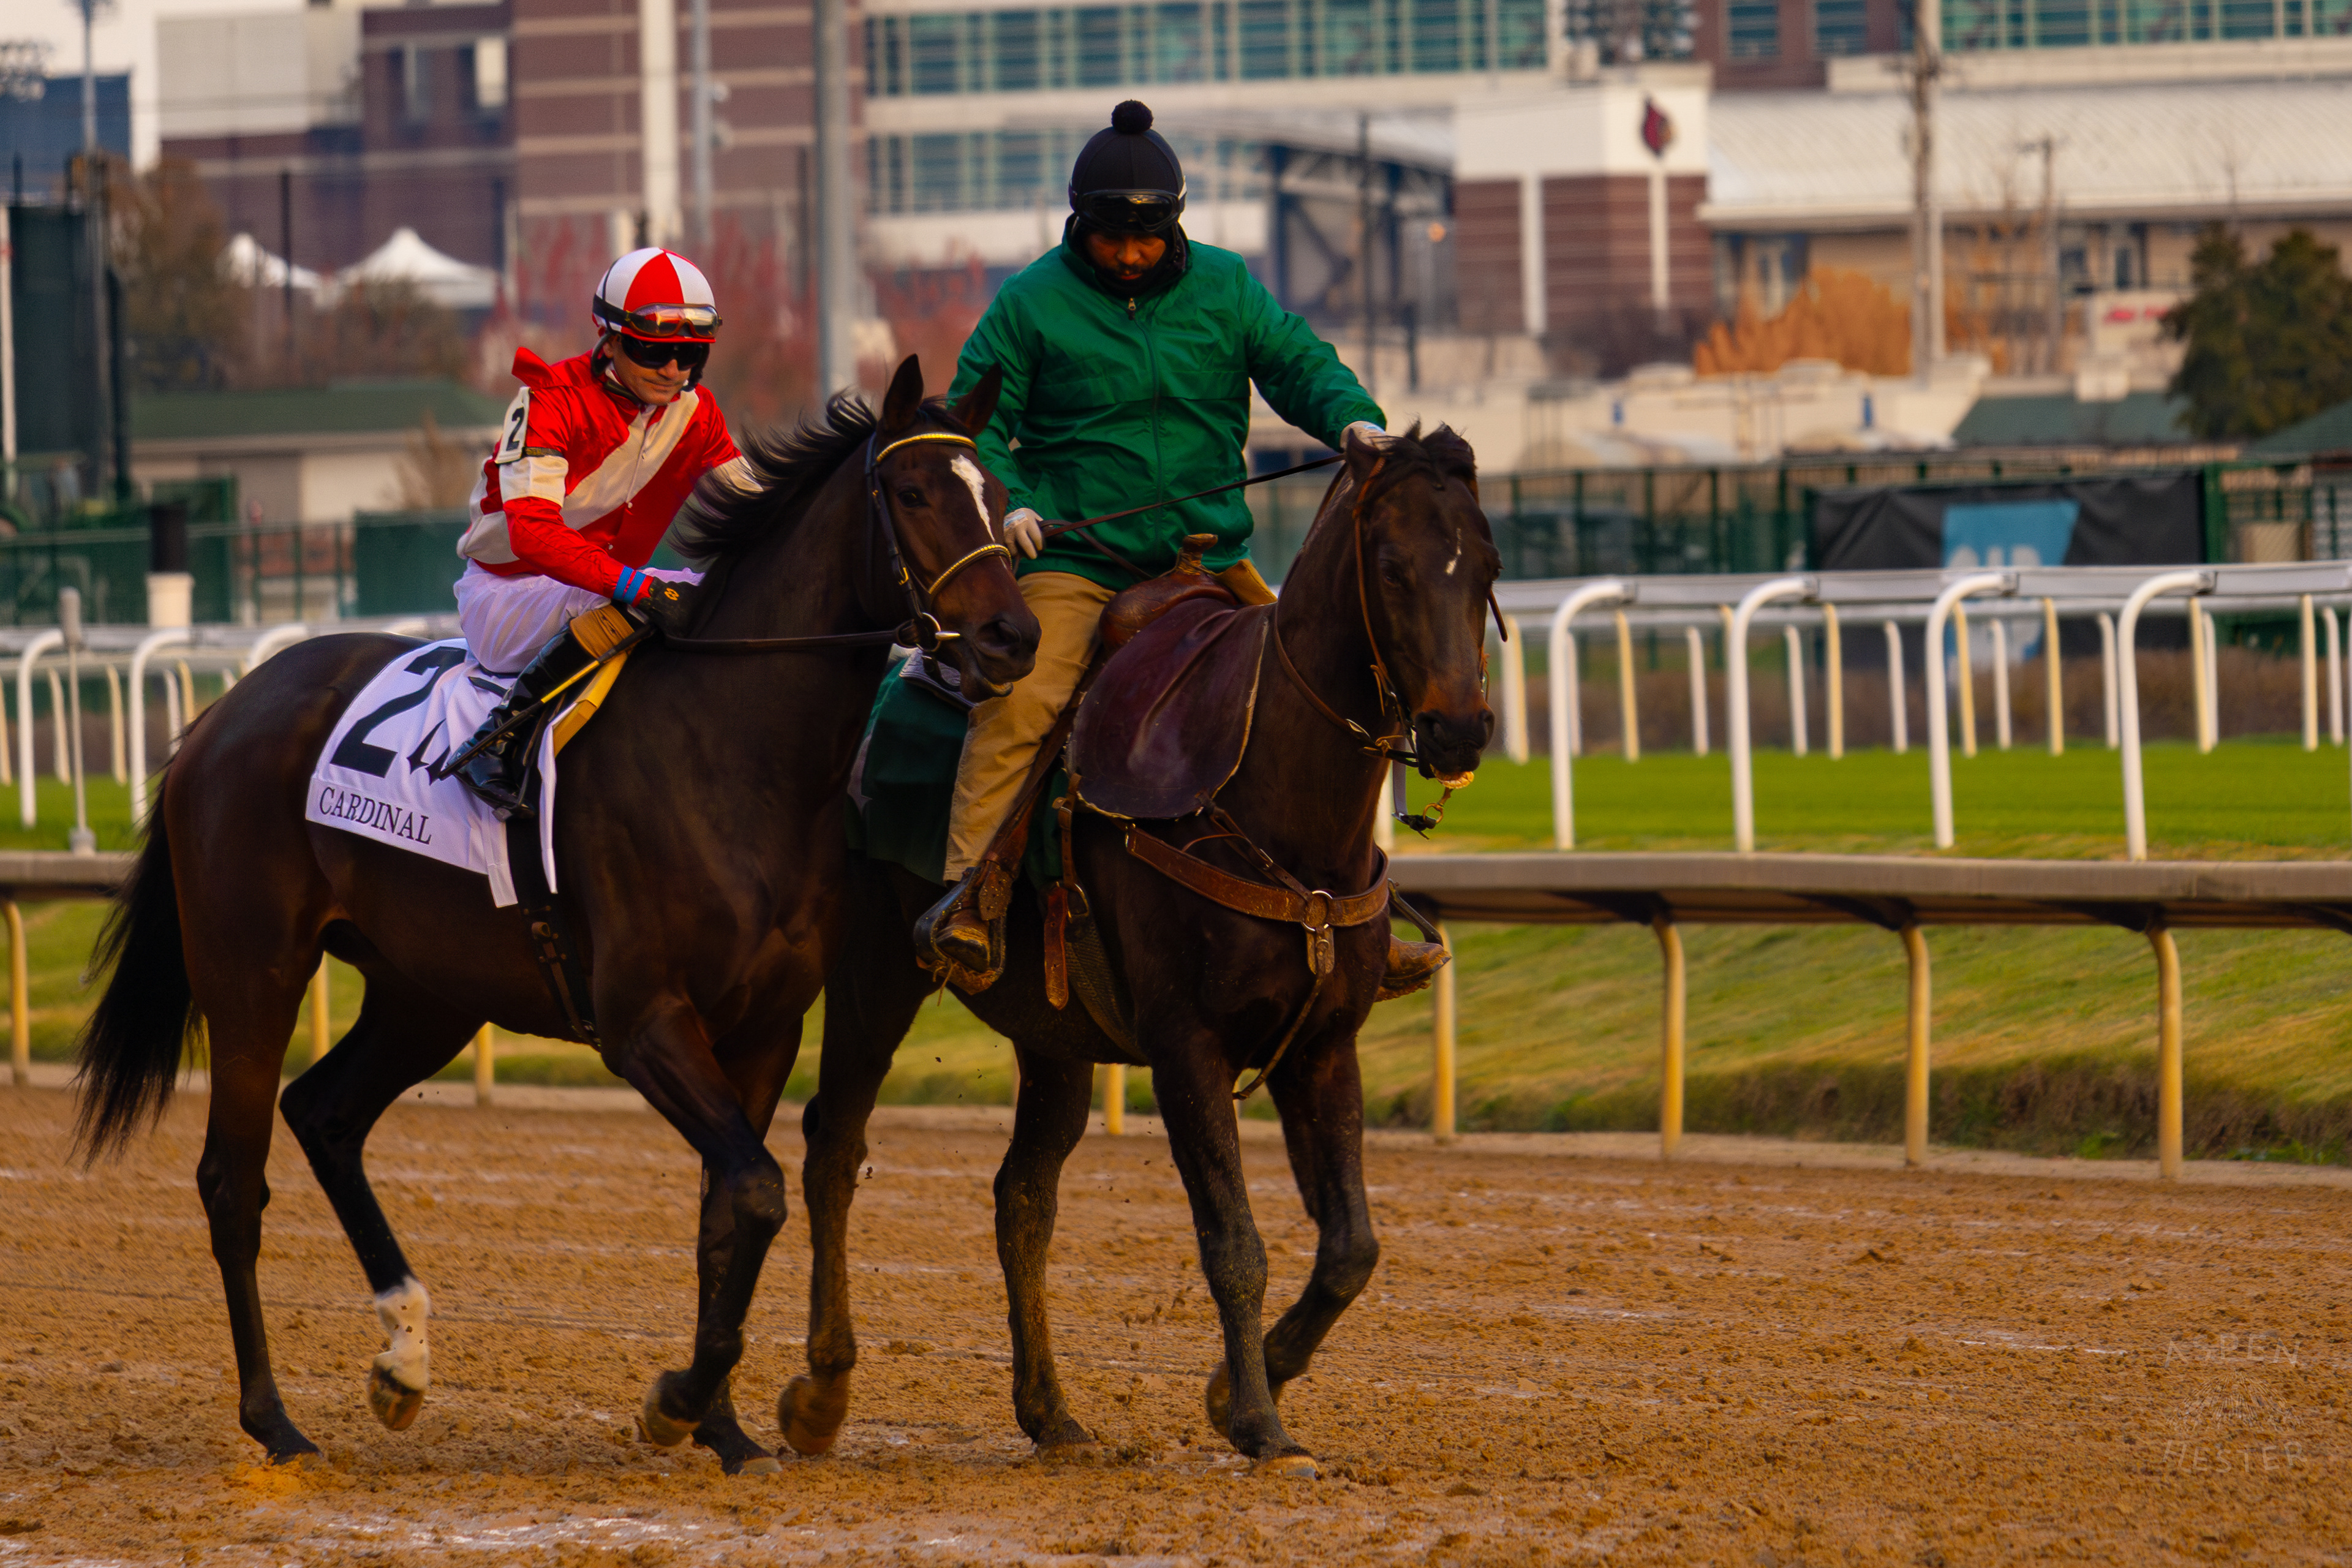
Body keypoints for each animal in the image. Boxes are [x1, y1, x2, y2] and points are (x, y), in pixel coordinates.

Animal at [70, 355, 1039, 1475]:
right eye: (915, 493)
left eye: (994, 488)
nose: (1015, 636)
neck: (735, 750)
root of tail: (219, 716)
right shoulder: (642, 1020)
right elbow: (754, 1190)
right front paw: (677, 1401)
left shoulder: (763, 1027)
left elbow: (731, 1207)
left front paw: (724, 1427)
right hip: (252, 972)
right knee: (234, 1179)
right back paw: (275, 1422)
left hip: (428, 989)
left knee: (324, 1113)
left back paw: (404, 1357)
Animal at [786, 424, 1497, 1474]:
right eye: (1393, 568)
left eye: (1485, 565)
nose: (1459, 729)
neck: (1270, 797)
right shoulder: (1185, 1046)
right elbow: (1234, 1244)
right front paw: (1260, 1423)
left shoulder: (1325, 1045)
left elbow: (1351, 1248)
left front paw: (1238, 1388)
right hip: (877, 974)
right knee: (834, 1147)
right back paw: (819, 1395)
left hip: (1052, 1035)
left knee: (1022, 1198)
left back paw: (1050, 1412)